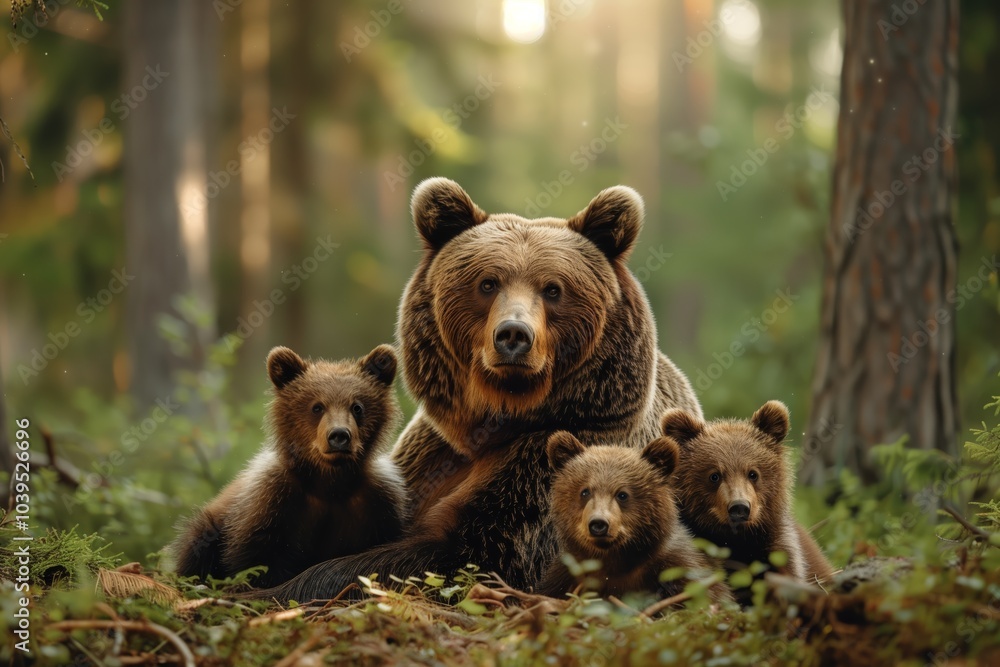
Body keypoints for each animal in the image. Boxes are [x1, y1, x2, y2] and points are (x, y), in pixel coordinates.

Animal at [170, 344, 407, 588]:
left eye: (357, 407)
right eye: (317, 407)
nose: (339, 436)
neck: (329, 482)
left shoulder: (378, 504)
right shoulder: (273, 501)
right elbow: (258, 562)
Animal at [256, 178, 702, 602]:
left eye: (553, 289)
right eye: (488, 283)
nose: (514, 335)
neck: (497, 421)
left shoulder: (555, 465)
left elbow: (470, 552)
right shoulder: (430, 456)